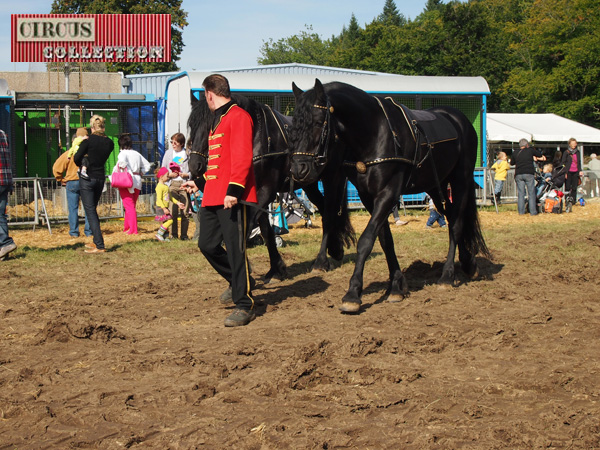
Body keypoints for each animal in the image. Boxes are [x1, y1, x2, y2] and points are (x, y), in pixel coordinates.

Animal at [188, 92, 356, 280]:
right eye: (191, 125)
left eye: (212, 124)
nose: (194, 166)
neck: (258, 138)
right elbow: (266, 230)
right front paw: (276, 268)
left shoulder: (265, 191)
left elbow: (247, 229)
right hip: (310, 183)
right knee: (322, 206)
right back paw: (335, 248)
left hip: (332, 177)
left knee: (329, 213)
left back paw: (321, 261)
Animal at [290, 80, 492, 312]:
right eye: (294, 124)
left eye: (317, 122)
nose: (298, 169)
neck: (373, 133)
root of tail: (459, 119)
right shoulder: (369, 197)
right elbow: (385, 240)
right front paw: (396, 286)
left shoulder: (388, 193)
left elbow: (366, 240)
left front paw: (353, 293)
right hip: (435, 185)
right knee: (450, 218)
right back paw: (469, 263)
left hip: (461, 180)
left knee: (457, 223)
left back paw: (447, 276)